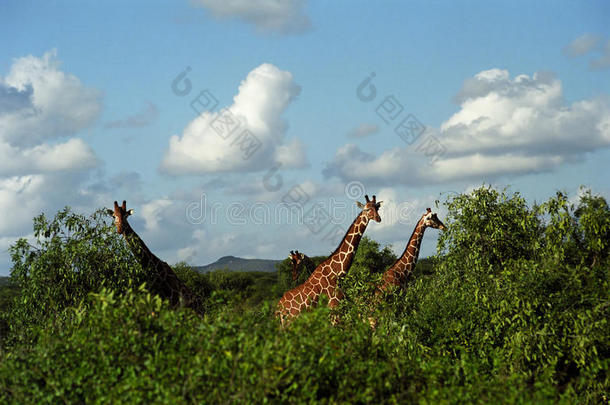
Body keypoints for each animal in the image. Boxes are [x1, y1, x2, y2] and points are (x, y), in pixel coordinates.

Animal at [276, 195, 380, 326]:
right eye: (366, 209)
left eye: (377, 208)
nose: (378, 218)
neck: (337, 272)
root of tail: (278, 309)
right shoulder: (334, 310)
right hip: (291, 321)